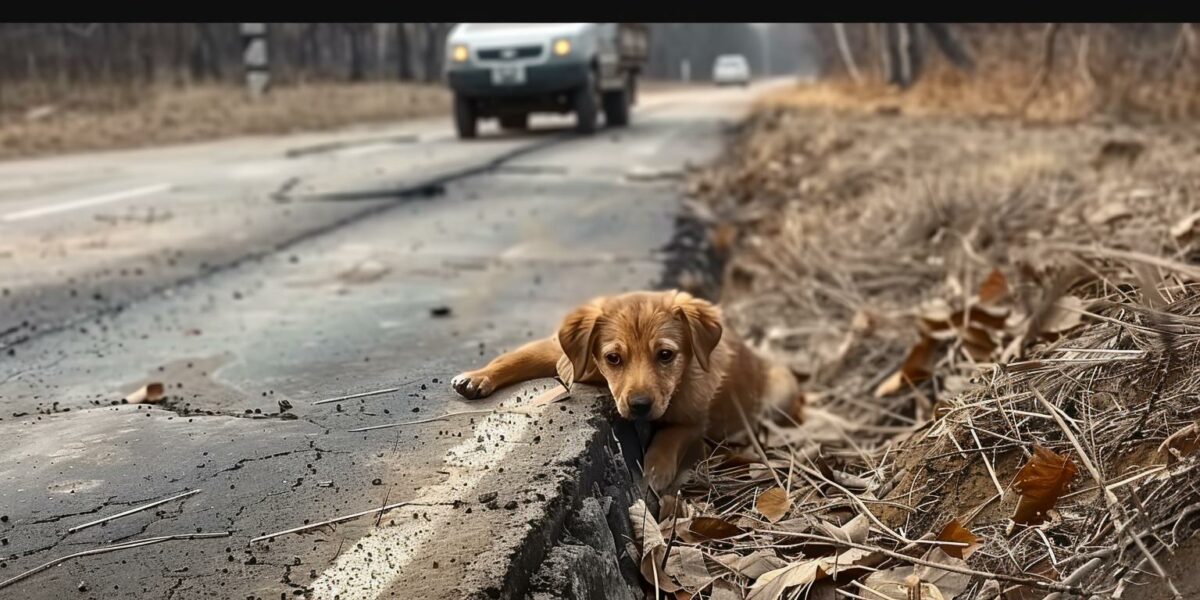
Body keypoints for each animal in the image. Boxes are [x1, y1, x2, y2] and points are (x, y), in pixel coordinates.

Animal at [446, 289, 801, 492]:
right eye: (613, 358)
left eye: (666, 355)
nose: (640, 405)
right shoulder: (566, 356)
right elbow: (518, 356)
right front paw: (478, 377)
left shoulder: (693, 419)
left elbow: (671, 435)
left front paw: (655, 470)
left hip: (781, 388)